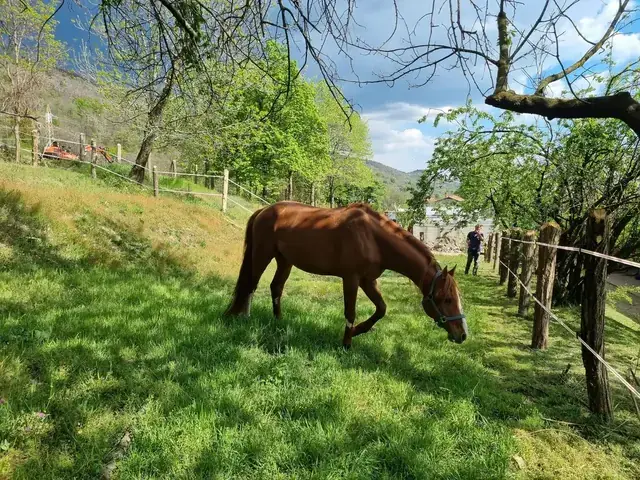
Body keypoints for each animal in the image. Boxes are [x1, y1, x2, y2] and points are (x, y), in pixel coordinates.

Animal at [224, 201, 468, 348]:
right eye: (446, 299)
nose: (463, 334)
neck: (374, 238)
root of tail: (263, 210)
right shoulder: (351, 279)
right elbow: (350, 312)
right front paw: (346, 343)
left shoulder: (368, 280)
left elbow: (381, 309)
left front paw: (360, 331)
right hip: (262, 255)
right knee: (251, 285)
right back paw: (242, 316)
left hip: (285, 261)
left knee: (276, 288)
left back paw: (279, 322)